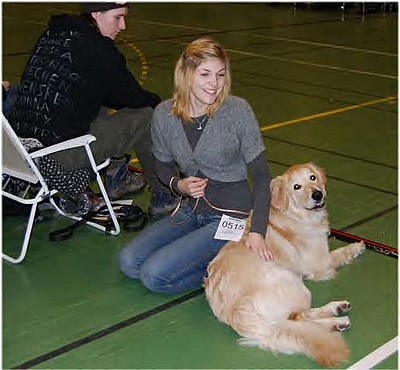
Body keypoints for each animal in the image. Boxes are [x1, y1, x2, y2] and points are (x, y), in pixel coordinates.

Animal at [205, 163, 364, 368]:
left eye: (312, 177)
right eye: (297, 187)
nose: (317, 194)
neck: (293, 214)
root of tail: (236, 313)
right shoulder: (321, 263)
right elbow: (340, 253)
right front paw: (357, 246)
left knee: (297, 319)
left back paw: (338, 315)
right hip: (294, 283)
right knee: (297, 317)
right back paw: (338, 317)